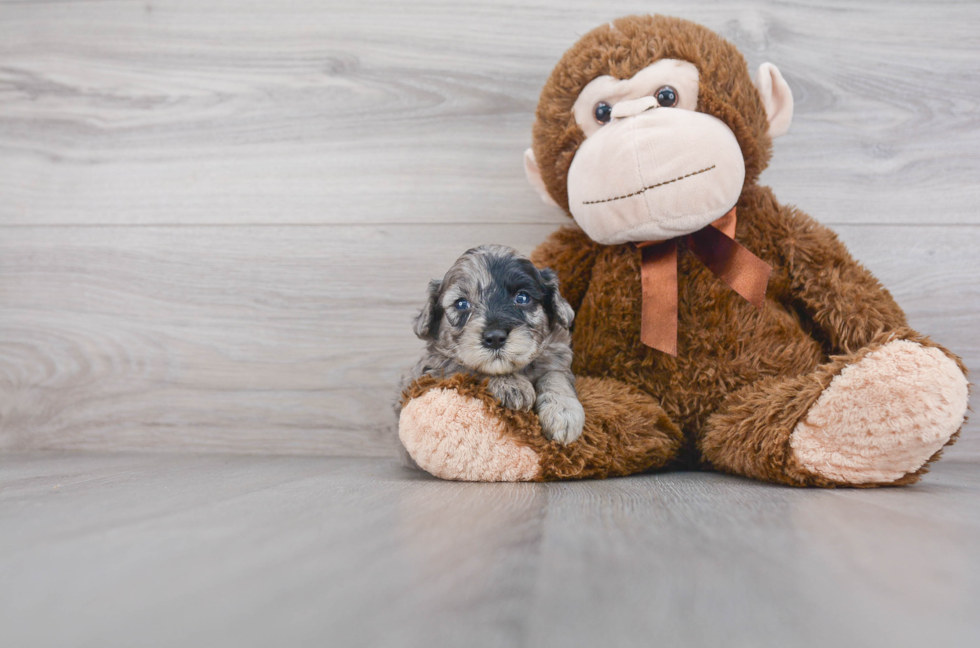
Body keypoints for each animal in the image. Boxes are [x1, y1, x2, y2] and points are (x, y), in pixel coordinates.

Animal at [410, 244, 584, 446]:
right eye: (461, 304)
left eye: (522, 298)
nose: (494, 338)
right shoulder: (434, 367)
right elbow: (469, 368)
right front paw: (511, 384)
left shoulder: (557, 354)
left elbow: (555, 375)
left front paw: (563, 411)